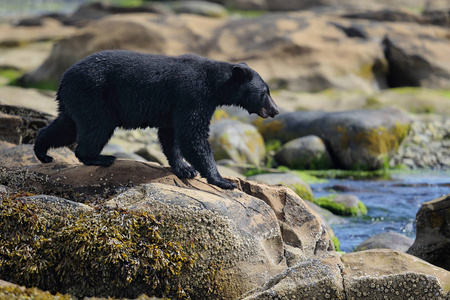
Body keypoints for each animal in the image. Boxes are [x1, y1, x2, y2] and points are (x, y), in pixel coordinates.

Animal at [34, 50, 278, 189]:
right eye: (265, 92)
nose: (275, 110)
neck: (214, 83)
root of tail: (63, 79)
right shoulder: (192, 95)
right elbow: (192, 135)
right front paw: (222, 180)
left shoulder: (174, 105)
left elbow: (170, 135)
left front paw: (184, 169)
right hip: (94, 94)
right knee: (97, 126)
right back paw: (101, 158)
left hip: (76, 99)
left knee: (66, 125)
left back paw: (42, 152)